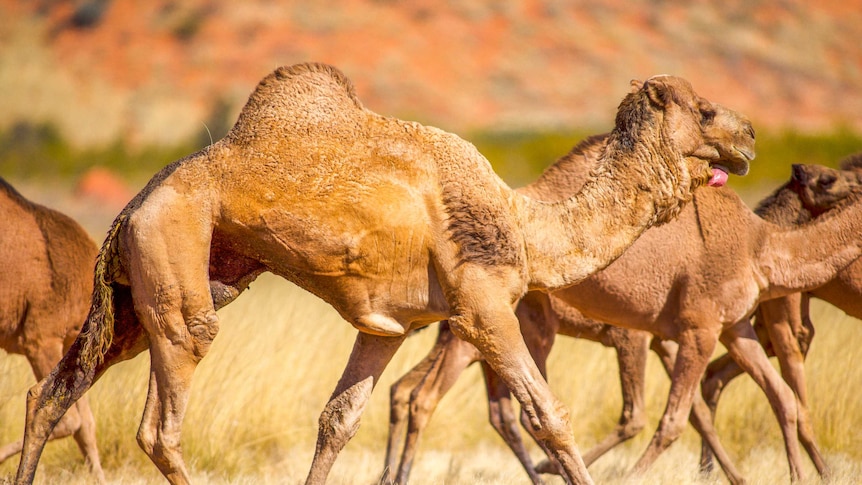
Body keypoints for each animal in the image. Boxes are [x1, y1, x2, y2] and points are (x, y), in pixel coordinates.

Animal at [15, 63, 756, 484]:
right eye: (705, 111)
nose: (748, 137)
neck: (525, 224)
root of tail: (136, 201)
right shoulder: (483, 308)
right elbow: (548, 415)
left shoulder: (387, 326)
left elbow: (337, 420)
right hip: (175, 260)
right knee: (160, 426)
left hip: (146, 290)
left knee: (52, 394)